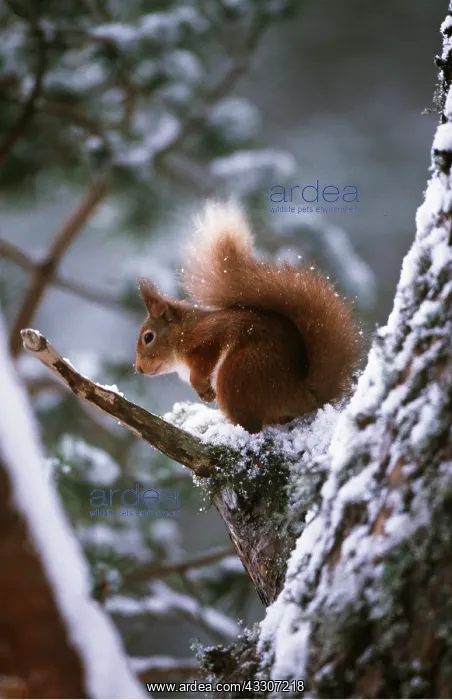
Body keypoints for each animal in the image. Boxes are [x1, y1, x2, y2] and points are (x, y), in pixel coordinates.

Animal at [135, 201, 360, 434]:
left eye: (148, 337)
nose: (139, 369)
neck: (183, 332)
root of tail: (303, 396)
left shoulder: (208, 338)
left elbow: (205, 361)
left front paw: (201, 387)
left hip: (239, 374)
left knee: (250, 424)